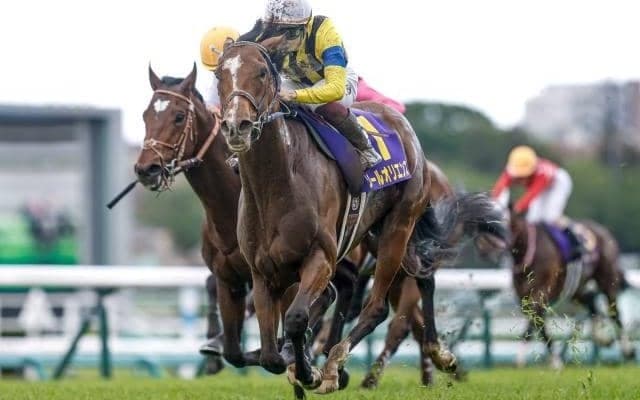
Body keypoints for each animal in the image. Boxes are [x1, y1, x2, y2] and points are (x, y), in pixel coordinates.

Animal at [215, 39, 506, 395]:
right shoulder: (262, 273)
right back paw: (438, 354)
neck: (277, 185)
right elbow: (270, 355)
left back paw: (336, 367)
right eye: (219, 74)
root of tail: (402, 124)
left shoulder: (321, 257)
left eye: (260, 72)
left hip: (398, 226)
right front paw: (296, 362)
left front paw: (311, 373)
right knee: (423, 276)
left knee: (378, 307)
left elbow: (297, 319)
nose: (236, 126)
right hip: (375, 233)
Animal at [507, 206, 636, 367]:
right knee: (591, 301)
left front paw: (551, 360)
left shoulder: (542, 291)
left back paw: (627, 351)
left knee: (614, 312)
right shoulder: (523, 295)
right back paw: (602, 337)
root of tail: (603, 230)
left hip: (607, 279)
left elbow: (535, 317)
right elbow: (535, 320)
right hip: (575, 288)